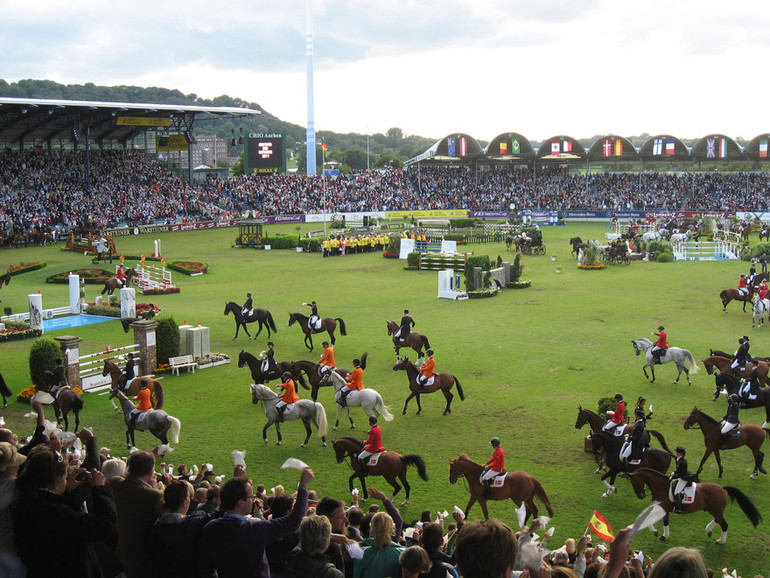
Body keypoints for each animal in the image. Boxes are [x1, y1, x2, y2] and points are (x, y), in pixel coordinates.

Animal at [628, 466, 760, 544]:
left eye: (634, 482)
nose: (641, 495)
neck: (661, 487)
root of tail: (722, 488)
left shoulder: (663, 508)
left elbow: (657, 520)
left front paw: (660, 535)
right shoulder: (662, 509)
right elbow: (653, 519)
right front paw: (661, 534)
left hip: (715, 510)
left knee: (724, 524)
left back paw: (720, 541)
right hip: (714, 510)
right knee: (718, 520)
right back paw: (709, 531)